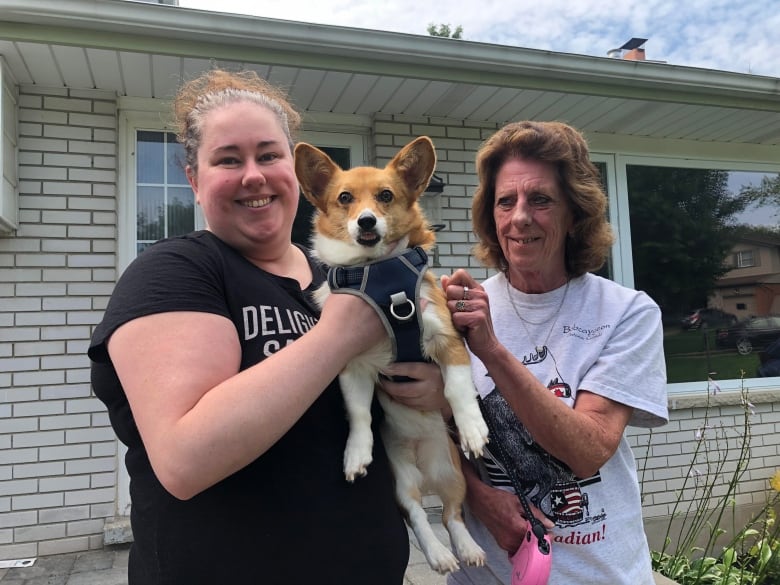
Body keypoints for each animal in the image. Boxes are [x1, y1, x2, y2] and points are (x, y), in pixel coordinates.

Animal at [296, 136, 490, 572]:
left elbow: (456, 390)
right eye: (345, 198)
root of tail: (427, 470)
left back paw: (466, 548)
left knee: (452, 516)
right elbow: (359, 413)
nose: (366, 222)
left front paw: (472, 429)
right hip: (402, 483)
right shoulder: (353, 366)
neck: (380, 276)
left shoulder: (448, 340)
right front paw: (356, 453)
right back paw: (438, 554)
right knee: (419, 515)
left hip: (454, 475)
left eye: (386, 196)